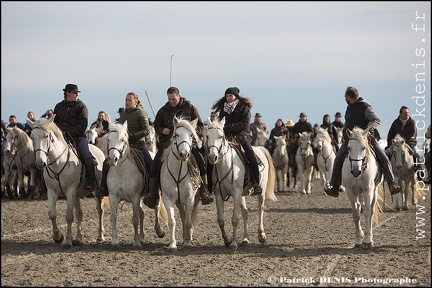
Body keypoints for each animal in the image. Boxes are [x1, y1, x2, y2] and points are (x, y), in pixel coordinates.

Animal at [26, 117, 106, 248]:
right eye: (32, 137)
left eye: (47, 136)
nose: (40, 163)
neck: (59, 162)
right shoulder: (52, 192)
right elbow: (52, 213)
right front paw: (58, 236)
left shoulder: (70, 191)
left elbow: (69, 216)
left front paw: (68, 241)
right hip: (77, 195)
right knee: (79, 214)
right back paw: (78, 239)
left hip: (97, 191)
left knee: (100, 211)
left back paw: (100, 236)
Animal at [159, 116, 202, 251]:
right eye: (176, 134)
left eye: (191, 135)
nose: (184, 154)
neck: (177, 172)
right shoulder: (168, 199)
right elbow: (172, 221)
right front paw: (172, 244)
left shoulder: (190, 199)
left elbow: (188, 221)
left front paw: (188, 242)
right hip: (178, 202)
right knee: (182, 216)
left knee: (188, 217)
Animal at [204, 118, 276, 249]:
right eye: (207, 136)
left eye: (221, 136)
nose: (212, 157)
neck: (225, 165)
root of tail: (260, 149)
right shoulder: (219, 195)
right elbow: (221, 220)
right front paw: (227, 240)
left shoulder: (236, 194)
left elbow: (234, 219)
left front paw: (233, 243)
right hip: (242, 195)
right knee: (245, 213)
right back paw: (245, 239)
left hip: (261, 192)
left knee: (260, 210)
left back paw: (261, 236)